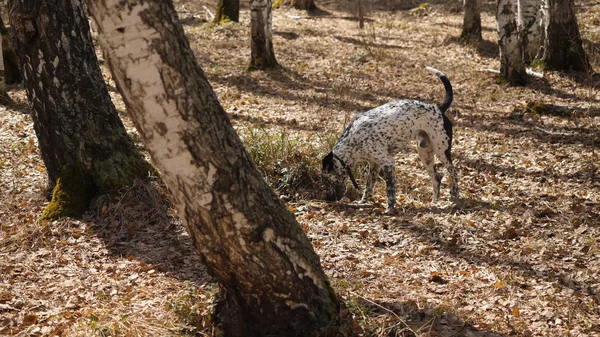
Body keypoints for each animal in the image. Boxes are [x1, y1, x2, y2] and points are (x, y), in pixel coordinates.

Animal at [324, 66, 460, 213]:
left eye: (327, 180)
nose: (328, 199)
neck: (352, 140)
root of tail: (439, 109)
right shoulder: (374, 164)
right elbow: (368, 187)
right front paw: (362, 202)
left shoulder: (388, 163)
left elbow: (389, 190)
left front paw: (389, 209)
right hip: (425, 155)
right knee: (437, 179)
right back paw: (434, 202)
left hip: (442, 152)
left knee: (454, 173)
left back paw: (454, 195)